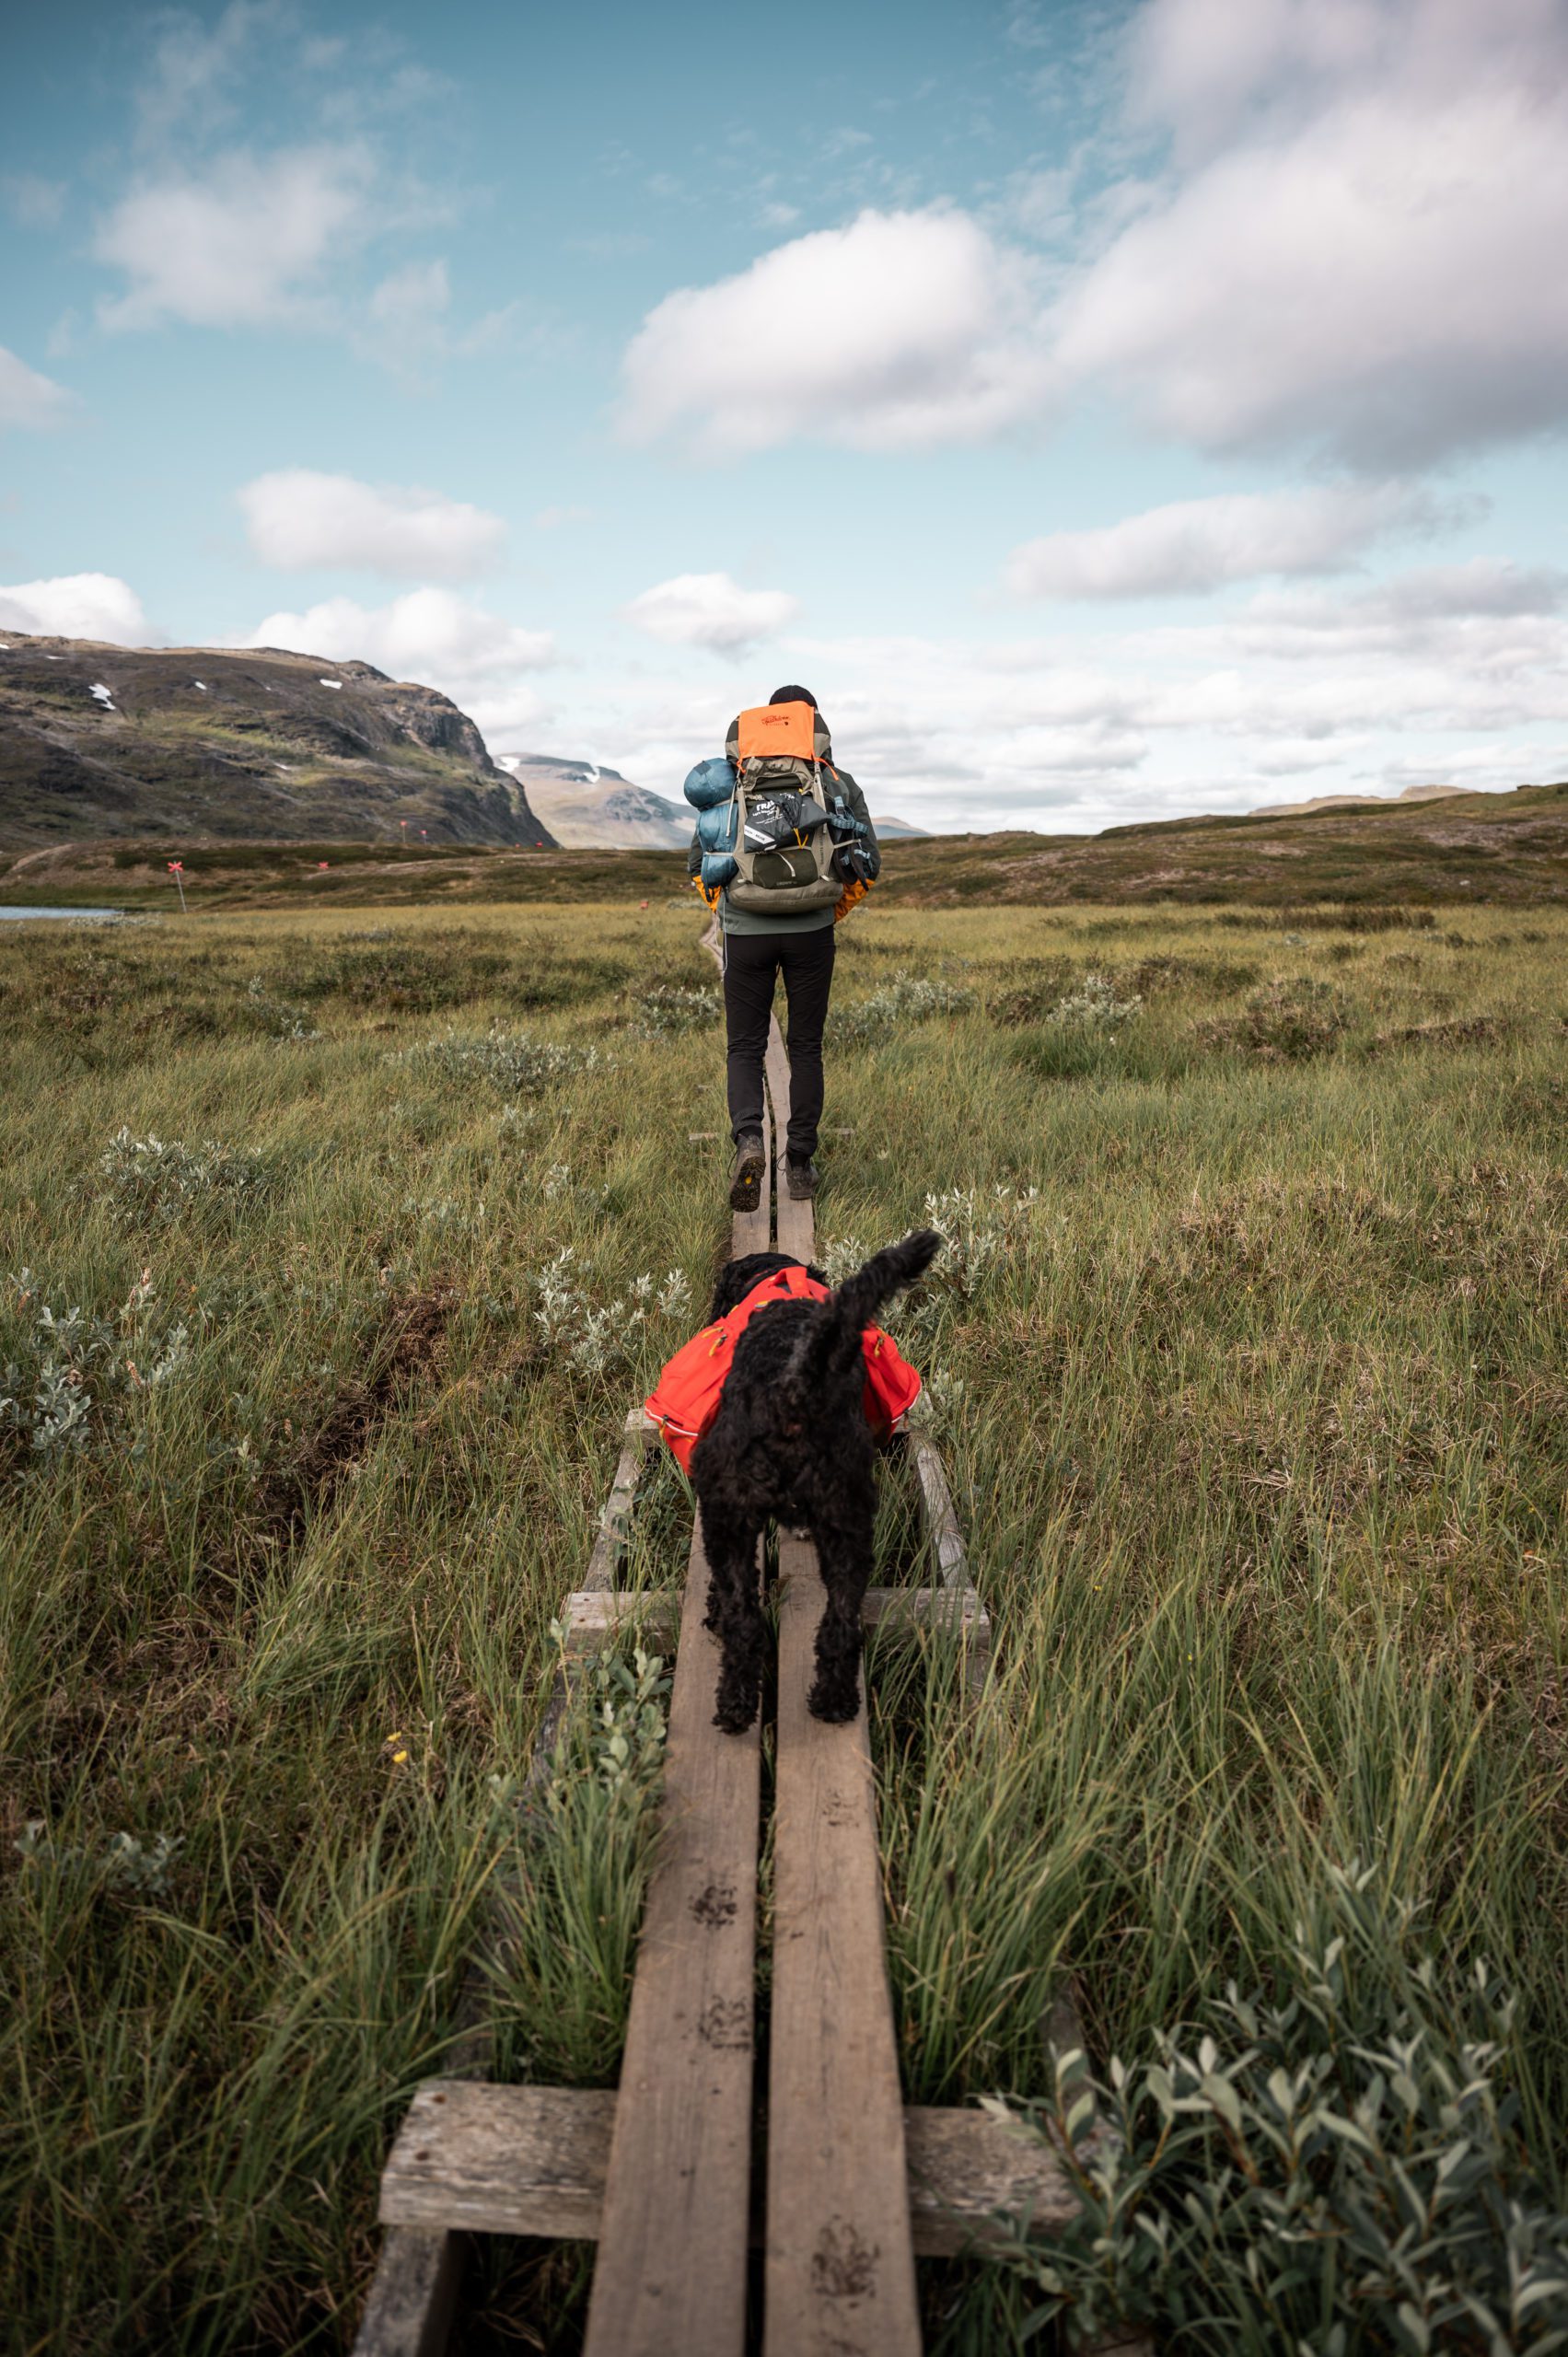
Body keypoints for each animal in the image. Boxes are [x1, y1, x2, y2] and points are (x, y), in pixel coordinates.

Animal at [688, 1235, 934, 1735]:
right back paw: (813, 1703)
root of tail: (795, 1389)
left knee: (757, 1620)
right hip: (842, 1521)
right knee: (829, 1623)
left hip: (735, 1519)